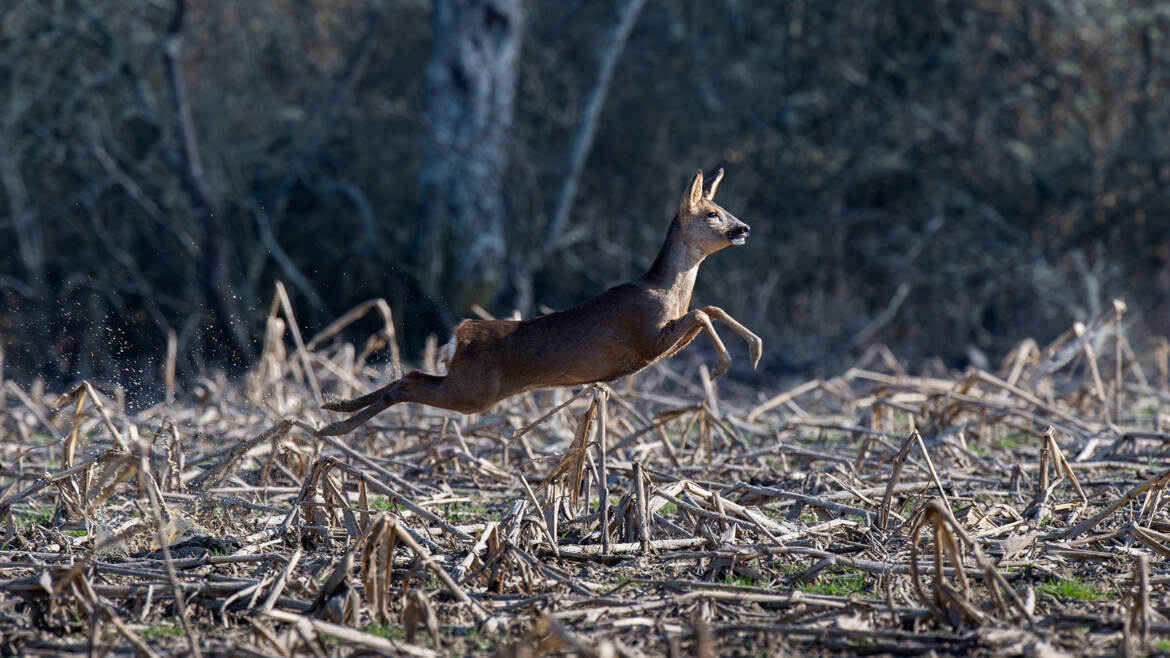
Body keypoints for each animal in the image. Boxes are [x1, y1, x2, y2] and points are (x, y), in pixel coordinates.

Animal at [315, 168, 762, 435]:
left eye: (723, 208)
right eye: (712, 213)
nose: (743, 227)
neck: (665, 290)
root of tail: (460, 335)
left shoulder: (659, 344)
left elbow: (710, 309)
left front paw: (753, 351)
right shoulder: (646, 338)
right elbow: (703, 312)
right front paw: (726, 363)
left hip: (464, 384)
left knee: (409, 376)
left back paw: (334, 409)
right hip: (473, 393)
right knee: (407, 387)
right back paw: (333, 427)